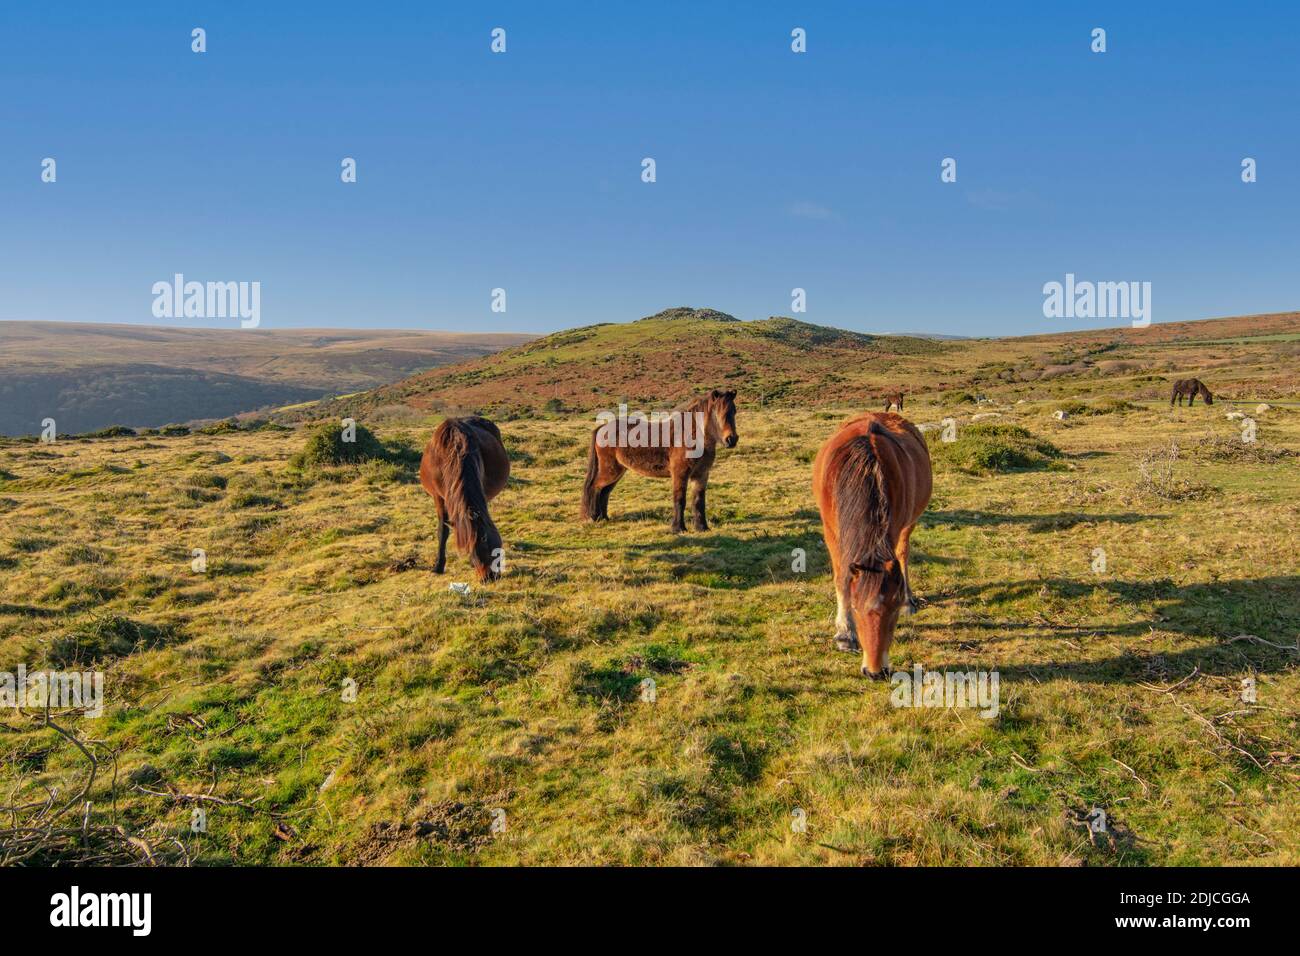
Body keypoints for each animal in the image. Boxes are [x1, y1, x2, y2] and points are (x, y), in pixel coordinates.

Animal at [423, 416, 509, 580]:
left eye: (496, 547)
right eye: (476, 549)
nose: (491, 577)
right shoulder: (439, 498)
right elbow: (443, 531)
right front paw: (438, 566)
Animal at [582, 390, 738, 538]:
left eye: (734, 411)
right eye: (717, 413)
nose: (732, 440)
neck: (690, 436)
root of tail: (602, 428)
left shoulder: (701, 475)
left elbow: (699, 501)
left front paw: (702, 527)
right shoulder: (680, 474)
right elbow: (679, 499)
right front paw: (678, 528)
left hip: (617, 471)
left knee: (605, 491)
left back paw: (604, 518)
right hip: (610, 471)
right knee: (595, 487)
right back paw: (593, 517)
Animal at [811, 411, 935, 681]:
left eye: (894, 612)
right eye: (856, 609)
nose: (876, 672)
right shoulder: (831, 532)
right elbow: (841, 579)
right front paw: (845, 633)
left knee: (903, 553)